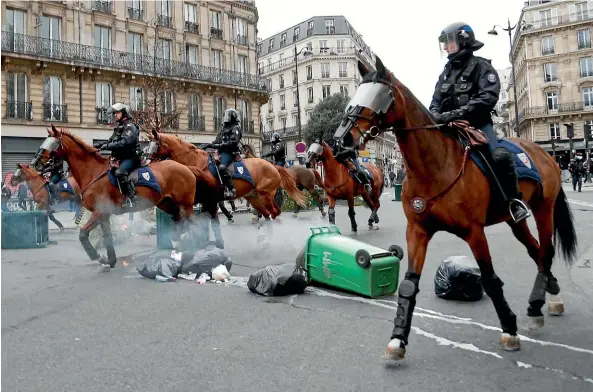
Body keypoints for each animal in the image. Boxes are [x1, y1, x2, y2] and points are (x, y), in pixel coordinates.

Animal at [33, 125, 204, 270]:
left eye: (53, 143)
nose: (36, 162)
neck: (93, 172)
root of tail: (186, 167)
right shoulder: (104, 215)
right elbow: (107, 237)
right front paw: (110, 260)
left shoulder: (100, 212)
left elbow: (83, 234)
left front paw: (98, 256)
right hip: (166, 203)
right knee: (179, 221)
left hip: (185, 205)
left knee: (194, 223)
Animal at [146, 132, 308, 222]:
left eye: (154, 146)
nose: (148, 161)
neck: (197, 163)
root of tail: (272, 165)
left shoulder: (209, 198)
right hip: (254, 196)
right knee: (269, 213)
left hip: (265, 195)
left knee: (274, 212)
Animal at [340, 56, 576, 360]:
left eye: (379, 96)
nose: (342, 140)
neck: (436, 166)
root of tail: (546, 154)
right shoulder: (417, 231)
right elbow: (409, 283)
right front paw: (398, 338)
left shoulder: (475, 233)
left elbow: (490, 279)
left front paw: (509, 330)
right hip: (515, 220)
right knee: (536, 251)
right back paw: (547, 299)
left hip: (543, 209)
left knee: (545, 251)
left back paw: (539, 303)